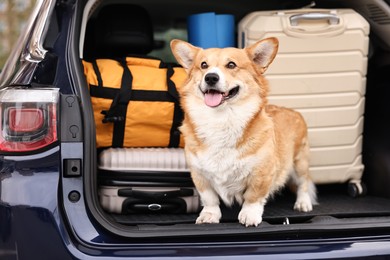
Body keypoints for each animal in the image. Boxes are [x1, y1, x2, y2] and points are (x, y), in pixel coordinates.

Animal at [171, 37, 316, 226]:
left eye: (231, 65)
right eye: (203, 65)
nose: (210, 77)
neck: (221, 120)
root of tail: (292, 111)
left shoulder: (261, 174)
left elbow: (253, 197)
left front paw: (249, 215)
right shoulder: (200, 174)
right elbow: (210, 198)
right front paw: (209, 215)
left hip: (300, 163)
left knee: (304, 183)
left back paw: (303, 203)